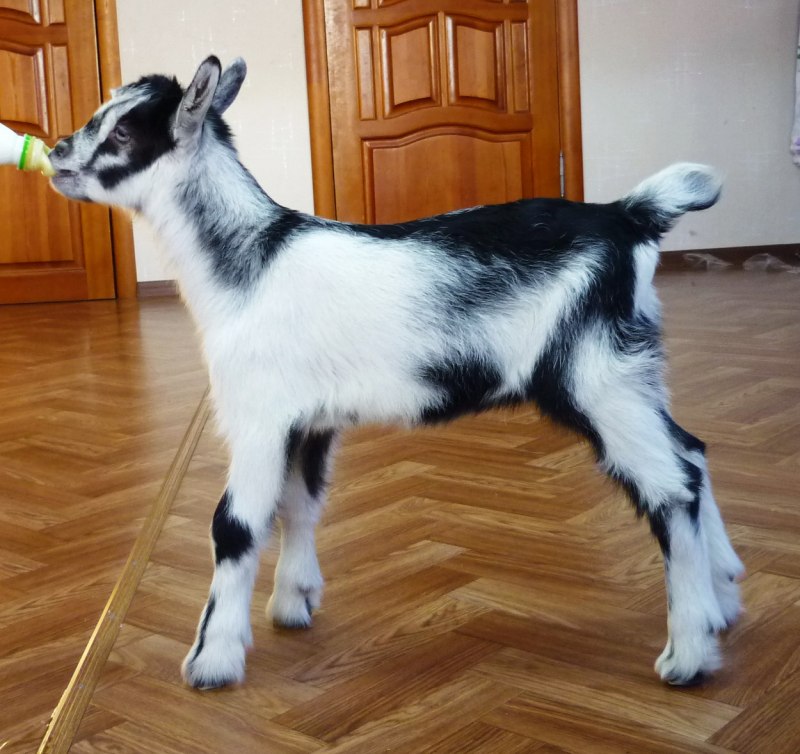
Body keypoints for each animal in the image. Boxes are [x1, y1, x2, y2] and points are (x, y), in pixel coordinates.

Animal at [49, 56, 744, 689]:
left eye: (121, 133)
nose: (55, 152)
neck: (250, 264)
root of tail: (628, 216)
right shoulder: (308, 420)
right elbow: (299, 503)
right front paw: (293, 601)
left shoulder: (259, 414)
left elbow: (237, 524)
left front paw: (212, 661)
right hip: (633, 369)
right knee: (692, 450)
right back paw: (725, 596)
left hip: (594, 375)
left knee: (672, 483)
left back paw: (688, 651)